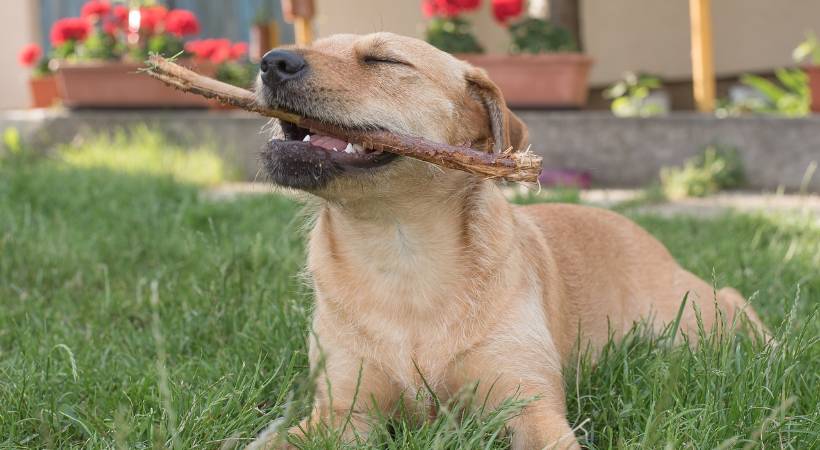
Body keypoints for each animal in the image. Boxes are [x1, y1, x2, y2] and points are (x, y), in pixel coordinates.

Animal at [247, 32, 764, 450]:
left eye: (385, 59)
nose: (272, 61)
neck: (400, 252)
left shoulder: (529, 406)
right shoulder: (343, 413)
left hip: (697, 319)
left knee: (735, 304)